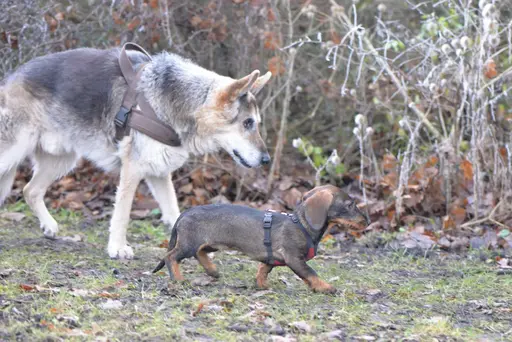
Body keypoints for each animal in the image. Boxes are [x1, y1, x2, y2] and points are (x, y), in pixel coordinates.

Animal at [0, 46, 272, 260]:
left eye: (257, 122)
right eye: (248, 123)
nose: (267, 160)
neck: (180, 101)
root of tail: (11, 78)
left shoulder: (159, 174)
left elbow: (173, 212)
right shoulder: (132, 170)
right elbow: (122, 214)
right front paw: (117, 248)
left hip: (63, 160)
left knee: (30, 190)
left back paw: (48, 226)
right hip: (14, 154)